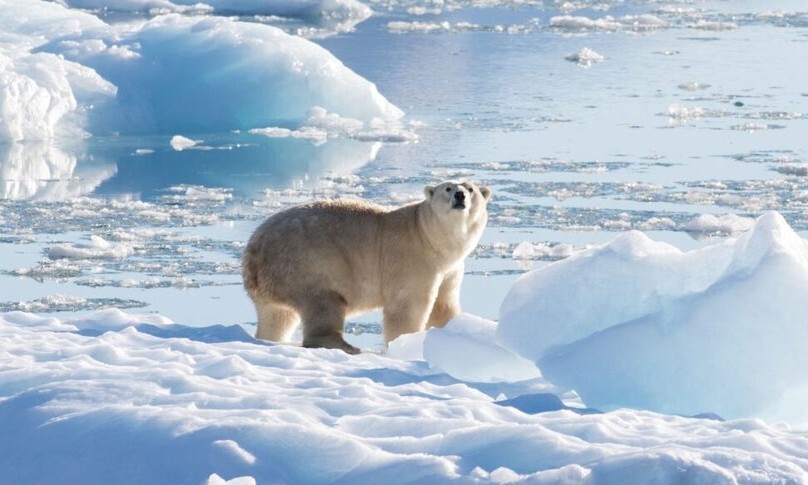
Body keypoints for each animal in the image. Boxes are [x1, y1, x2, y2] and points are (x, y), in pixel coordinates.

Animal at [241, 180, 492, 354]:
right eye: (447, 188)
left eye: (470, 188)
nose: (460, 195)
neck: (429, 236)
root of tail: (253, 249)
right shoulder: (412, 259)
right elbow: (407, 307)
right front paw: (405, 344)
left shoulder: (450, 269)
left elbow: (443, 305)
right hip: (307, 263)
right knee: (323, 303)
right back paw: (347, 346)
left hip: (276, 280)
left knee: (277, 316)